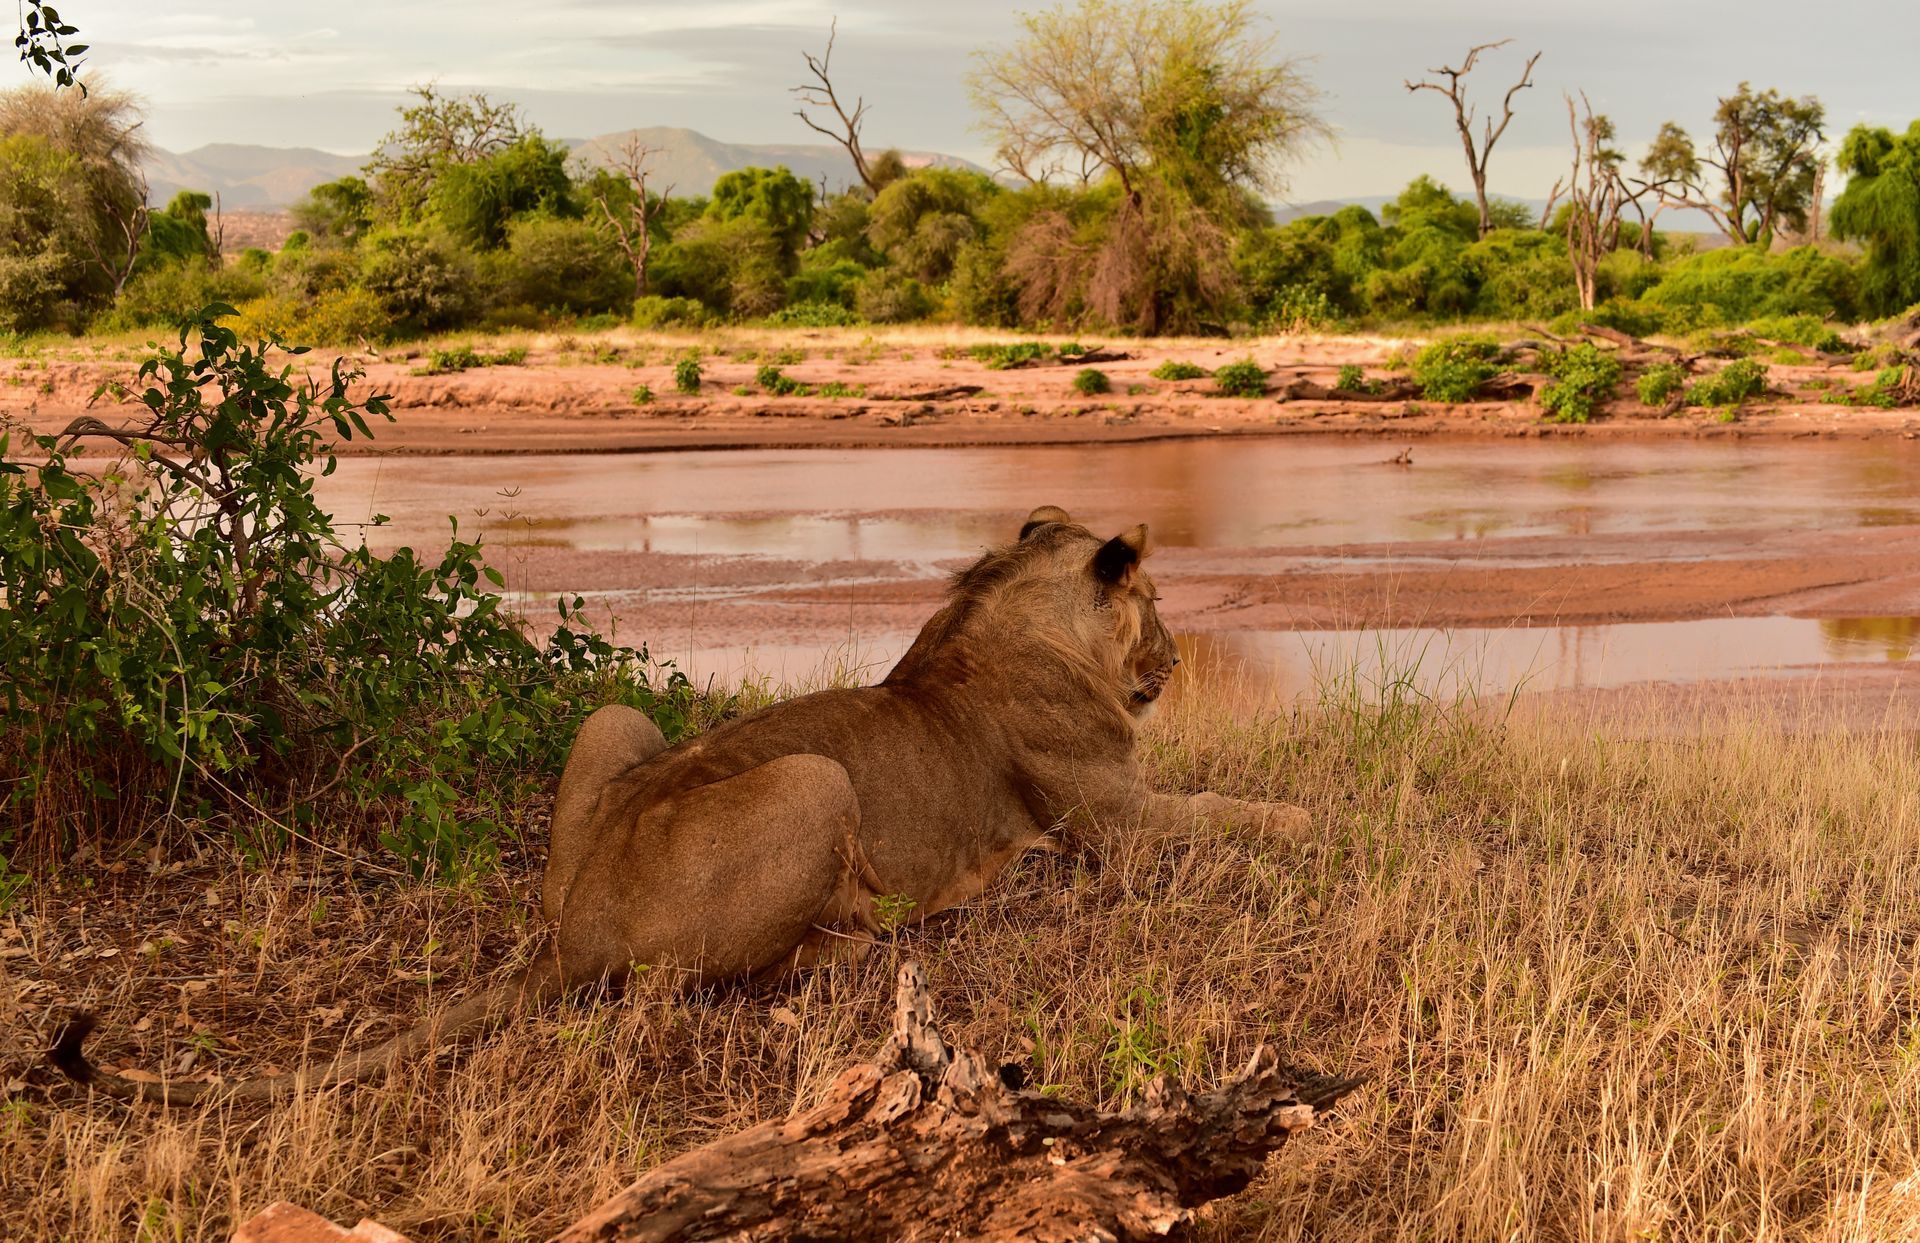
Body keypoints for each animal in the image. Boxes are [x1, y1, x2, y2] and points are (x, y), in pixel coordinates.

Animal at [51, 505, 1308, 1104]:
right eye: (1157, 600)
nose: (1177, 658)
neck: (1011, 615)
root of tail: (575, 927)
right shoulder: (1115, 825)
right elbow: (1242, 810)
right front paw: (1316, 823)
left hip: (613, 723)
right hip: (817, 781)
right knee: (710, 980)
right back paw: (872, 937)